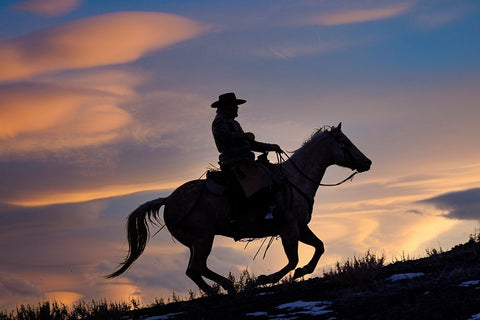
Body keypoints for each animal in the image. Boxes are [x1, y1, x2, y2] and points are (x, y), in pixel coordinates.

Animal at [108, 122, 372, 296]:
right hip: (203, 239)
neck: (294, 179)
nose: (367, 162)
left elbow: (319, 247)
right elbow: (292, 260)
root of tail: (168, 200)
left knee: (194, 270)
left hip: (196, 242)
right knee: (196, 268)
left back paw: (221, 289)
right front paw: (263, 279)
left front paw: (303, 271)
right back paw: (226, 287)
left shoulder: (300, 227)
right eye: (346, 143)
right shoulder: (288, 229)